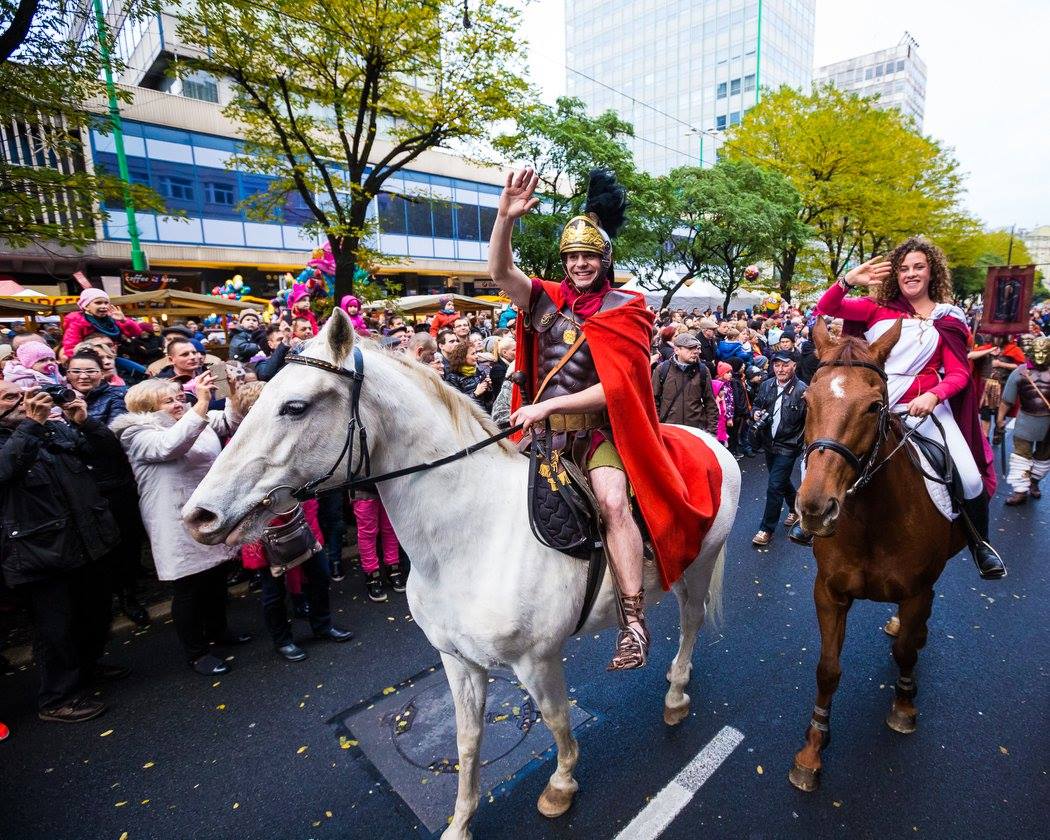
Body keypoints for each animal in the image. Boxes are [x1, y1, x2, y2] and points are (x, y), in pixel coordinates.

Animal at [182, 310, 739, 835]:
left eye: (294, 407)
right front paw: (461, 821)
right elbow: (467, 741)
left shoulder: (537, 660)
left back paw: (675, 693)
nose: (198, 516)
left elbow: (557, 720)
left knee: (690, 623)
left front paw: (560, 786)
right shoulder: (457, 661)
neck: (469, 536)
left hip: (698, 567)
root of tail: (708, 440)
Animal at [789, 317, 965, 793]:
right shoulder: (829, 593)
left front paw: (903, 707)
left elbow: (904, 653)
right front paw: (812, 750)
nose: (815, 507)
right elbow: (828, 669)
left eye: (873, 407)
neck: (871, 520)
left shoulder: (917, 589)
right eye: (806, 400)